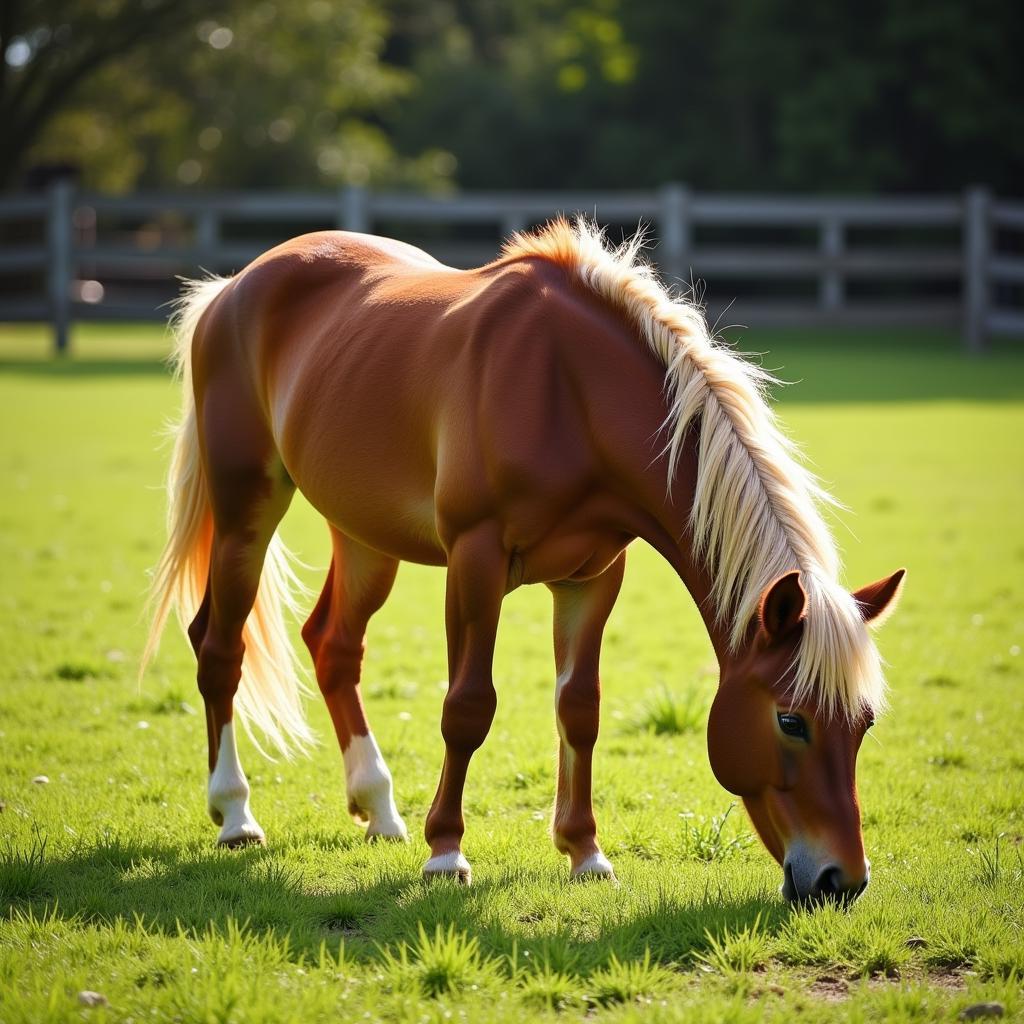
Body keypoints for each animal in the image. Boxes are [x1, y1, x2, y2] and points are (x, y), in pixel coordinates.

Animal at [144, 218, 905, 905]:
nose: (842, 881)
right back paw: (236, 815)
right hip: (246, 512)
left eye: (864, 723)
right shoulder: (475, 561)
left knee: (332, 644)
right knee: (219, 649)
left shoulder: (592, 577)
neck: (568, 392)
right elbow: (467, 707)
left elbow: (580, 708)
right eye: (790, 720)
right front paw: (446, 854)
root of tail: (233, 287)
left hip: (364, 537)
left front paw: (584, 852)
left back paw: (379, 809)